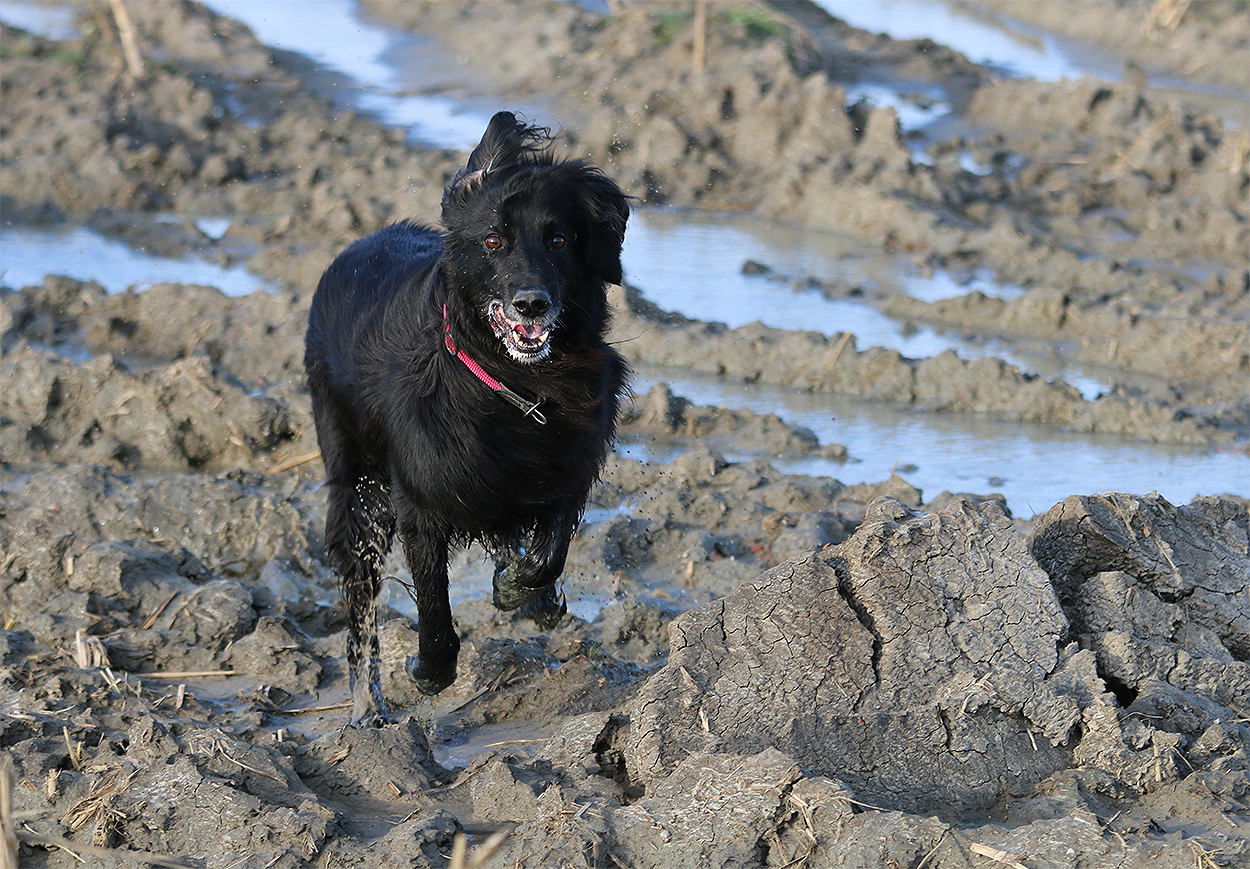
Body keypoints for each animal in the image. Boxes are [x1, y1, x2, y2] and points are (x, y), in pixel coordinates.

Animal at [305, 111, 629, 723]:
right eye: (494, 241)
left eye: (558, 239)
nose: (532, 304)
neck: (512, 383)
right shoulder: (419, 502)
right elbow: (434, 608)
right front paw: (430, 672)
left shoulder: (568, 463)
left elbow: (546, 554)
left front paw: (517, 589)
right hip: (357, 482)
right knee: (361, 599)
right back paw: (366, 711)